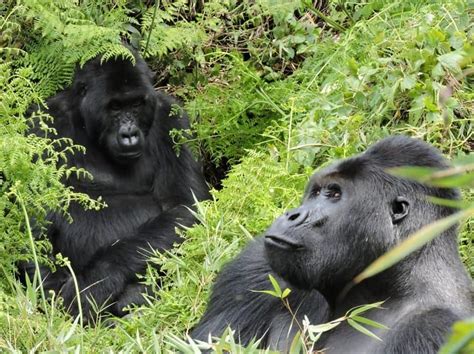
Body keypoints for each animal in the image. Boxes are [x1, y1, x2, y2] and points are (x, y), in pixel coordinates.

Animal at [20, 50, 209, 324]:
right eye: (116, 107)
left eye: (136, 104)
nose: (129, 134)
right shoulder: (43, 123)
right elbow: (34, 215)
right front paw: (52, 293)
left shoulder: (172, 120)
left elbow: (187, 207)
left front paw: (96, 282)